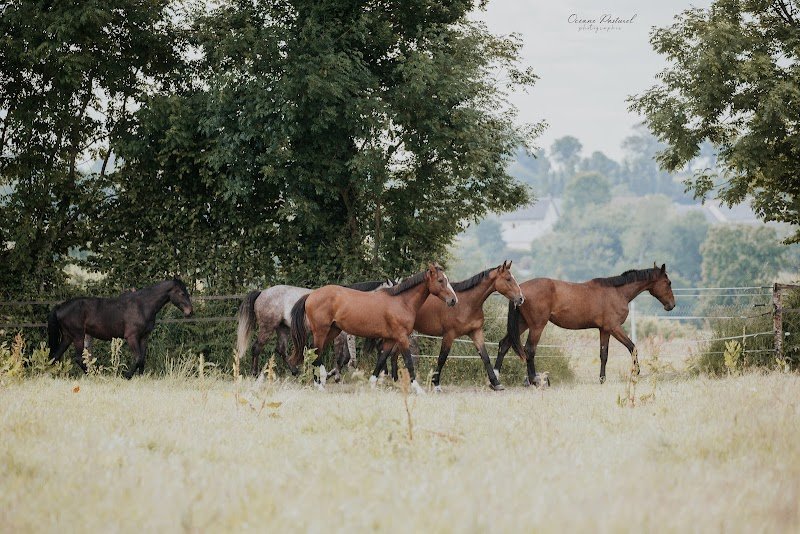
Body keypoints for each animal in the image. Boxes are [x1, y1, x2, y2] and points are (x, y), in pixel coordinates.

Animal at [47, 279, 193, 379]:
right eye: (181, 293)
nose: (190, 312)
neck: (142, 305)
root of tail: (60, 307)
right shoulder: (132, 337)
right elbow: (138, 358)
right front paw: (126, 375)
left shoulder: (144, 337)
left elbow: (142, 359)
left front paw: (141, 377)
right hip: (78, 336)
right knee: (78, 358)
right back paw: (93, 375)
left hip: (68, 337)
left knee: (55, 356)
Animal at [235, 280, 394, 377]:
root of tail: (262, 292)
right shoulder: (340, 336)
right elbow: (342, 357)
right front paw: (332, 375)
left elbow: (345, 358)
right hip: (267, 328)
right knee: (257, 348)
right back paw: (254, 374)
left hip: (283, 329)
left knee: (281, 350)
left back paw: (295, 371)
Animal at [290, 263, 457, 394]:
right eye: (441, 280)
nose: (453, 300)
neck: (401, 302)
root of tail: (311, 295)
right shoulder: (402, 338)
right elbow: (409, 361)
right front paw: (418, 389)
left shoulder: (390, 339)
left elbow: (381, 360)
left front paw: (372, 384)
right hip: (321, 331)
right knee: (315, 353)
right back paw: (319, 384)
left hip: (332, 331)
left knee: (312, 352)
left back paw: (320, 381)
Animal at [375, 261, 524, 392]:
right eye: (508, 279)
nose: (521, 298)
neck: (467, 303)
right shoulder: (449, 335)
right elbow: (442, 358)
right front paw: (436, 384)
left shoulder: (476, 332)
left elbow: (485, 357)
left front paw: (496, 383)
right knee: (384, 350)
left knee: (392, 353)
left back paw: (394, 380)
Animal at [494, 263, 675, 385]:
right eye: (668, 283)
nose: (671, 305)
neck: (617, 292)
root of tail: (520, 291)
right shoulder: (615, 328)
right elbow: (632, 347)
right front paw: (636, 373)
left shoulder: (604, 330)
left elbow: (604, 355)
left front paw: (602, 379)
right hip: (537, 326)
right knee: (529, 350)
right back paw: (533, 380)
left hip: (522, 324)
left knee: (504, 344)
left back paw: (496, 378)